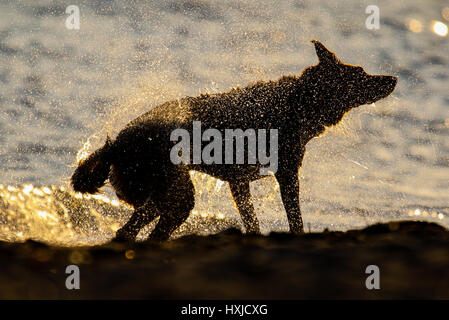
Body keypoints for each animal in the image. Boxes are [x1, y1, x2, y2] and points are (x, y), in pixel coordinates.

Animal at [70, 40, 396, 240]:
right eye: (361, 73)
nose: (393, 78)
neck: (299, 101)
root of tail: (115, 146)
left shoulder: (238, 182)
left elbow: (252, 221)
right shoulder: (287, 175)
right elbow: (295, 219)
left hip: (163, 191)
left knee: (129, 231)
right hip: (176, 194)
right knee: (149, 232)